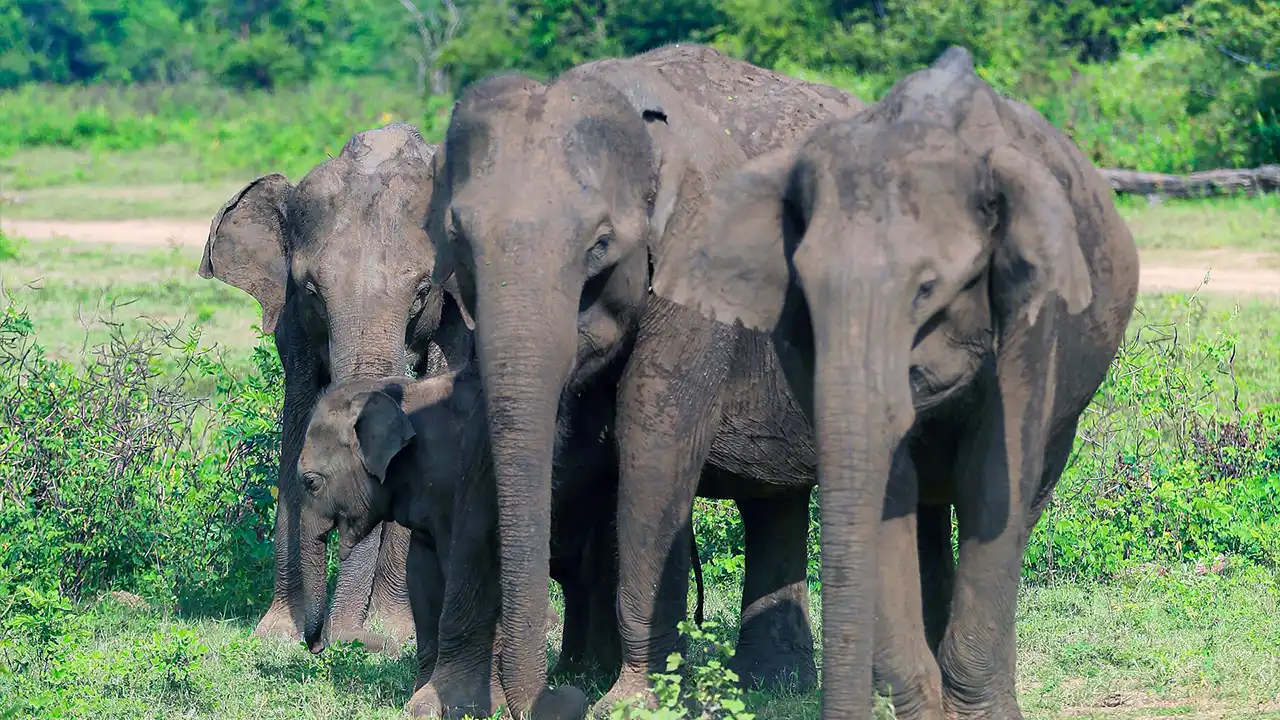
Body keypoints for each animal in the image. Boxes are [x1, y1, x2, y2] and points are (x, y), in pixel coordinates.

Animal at [199, 123, 474, 653]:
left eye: (422, 291)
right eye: (311, 290)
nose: (328, 640)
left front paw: (394, 634)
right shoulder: (295, 327)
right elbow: (296, 428)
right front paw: (277, 634)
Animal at [425, 44, 866, 717]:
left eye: (600, 245)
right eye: (458, 239)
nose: (554, 697)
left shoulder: (704, 260)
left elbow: (654, 434)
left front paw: (631, 704)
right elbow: (481, 438)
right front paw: (442, 701)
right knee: (776, 500)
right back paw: (770, 684)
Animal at [657, 47, 1140, 719]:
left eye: (927, 288)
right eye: (804, 290)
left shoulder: (1033, 314)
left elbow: (994, 482)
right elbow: (892, 489)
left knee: (1022, 498)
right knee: (928, 514)